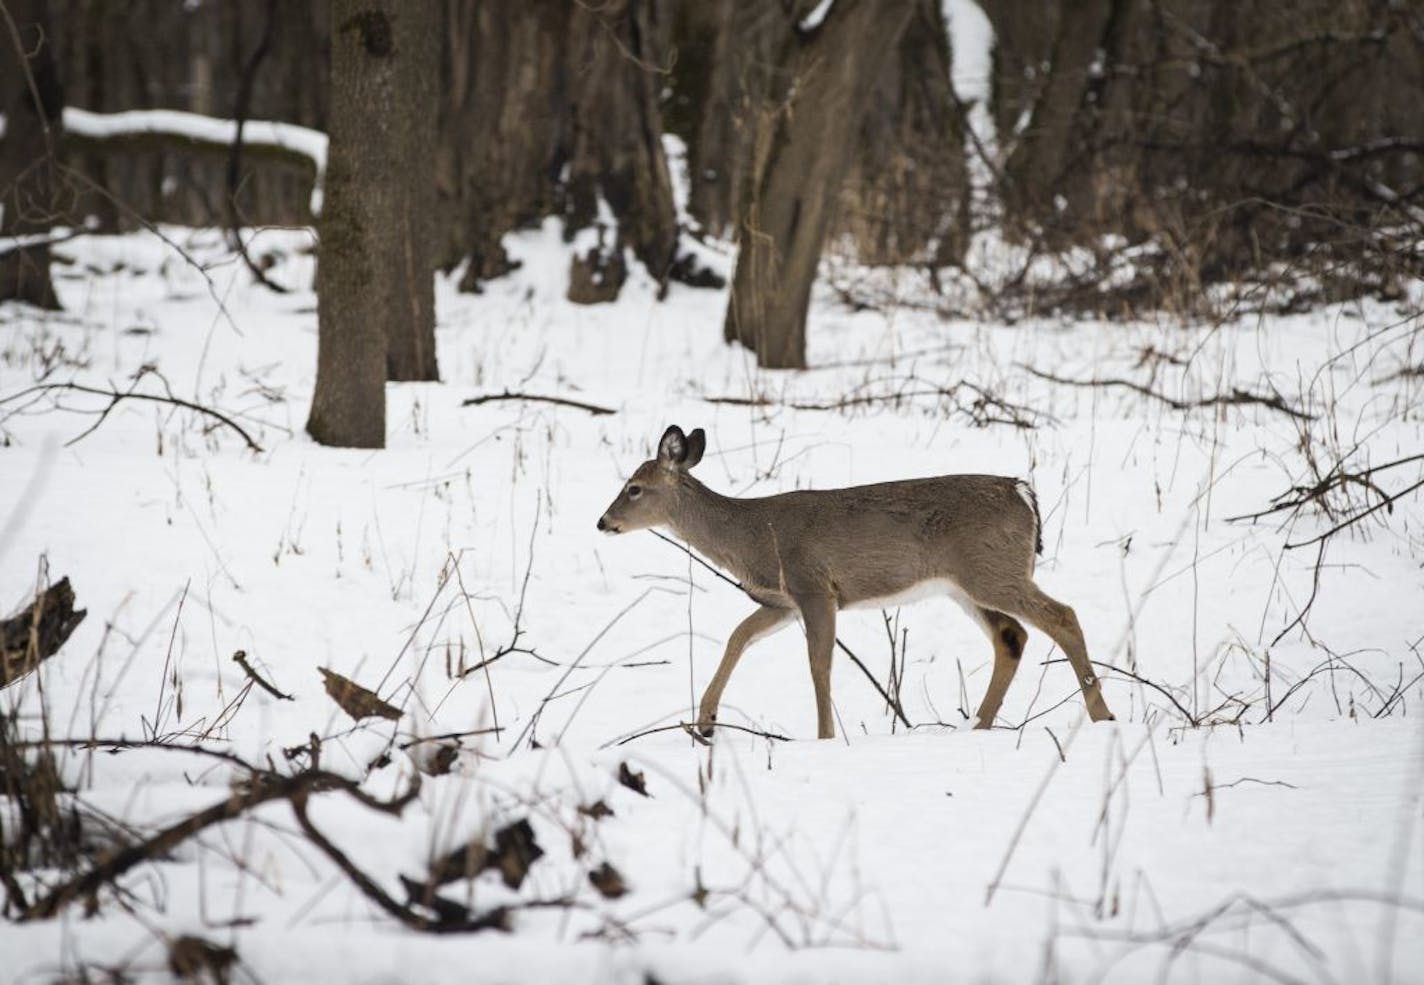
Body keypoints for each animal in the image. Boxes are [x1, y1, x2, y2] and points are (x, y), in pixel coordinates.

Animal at [595, 424, 1116, 740]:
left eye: (634, 488)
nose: (603, 521)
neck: (755, 535)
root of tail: (1022, 491)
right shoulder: (783, 601)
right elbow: (738, 636)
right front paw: (705, 720)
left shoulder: (814, 586)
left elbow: (818, 665)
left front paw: (825, 737)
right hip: (967, 582)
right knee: (1012, 636)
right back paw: (978, 727)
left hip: (992, 570)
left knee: (1062, 616)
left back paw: (1103, 716)